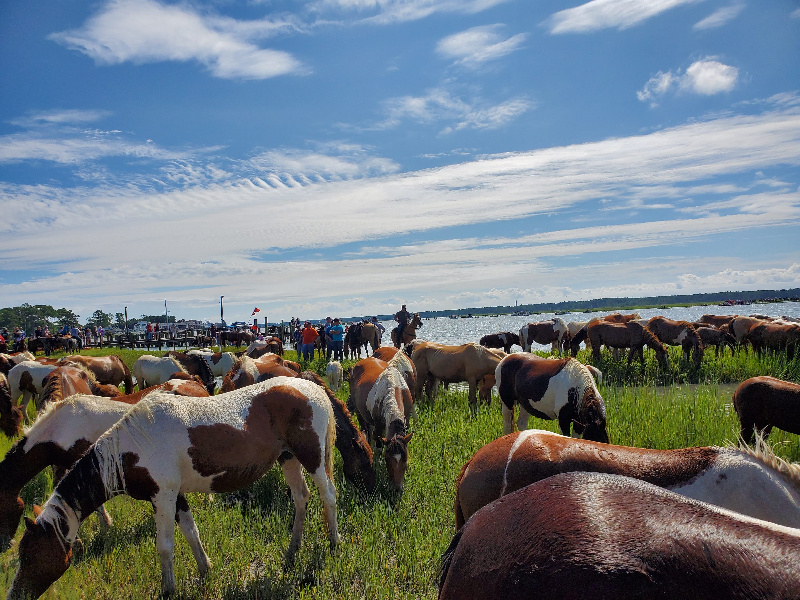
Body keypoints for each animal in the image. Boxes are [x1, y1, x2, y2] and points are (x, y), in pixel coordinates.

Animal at [349, 353, 414, 490]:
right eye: (387, 460)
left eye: (405, 459)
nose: (397, 488)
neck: (393, 387)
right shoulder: (379, 426)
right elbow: (378, 447)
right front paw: (377, 465)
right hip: (358, 411)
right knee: (366, 430)